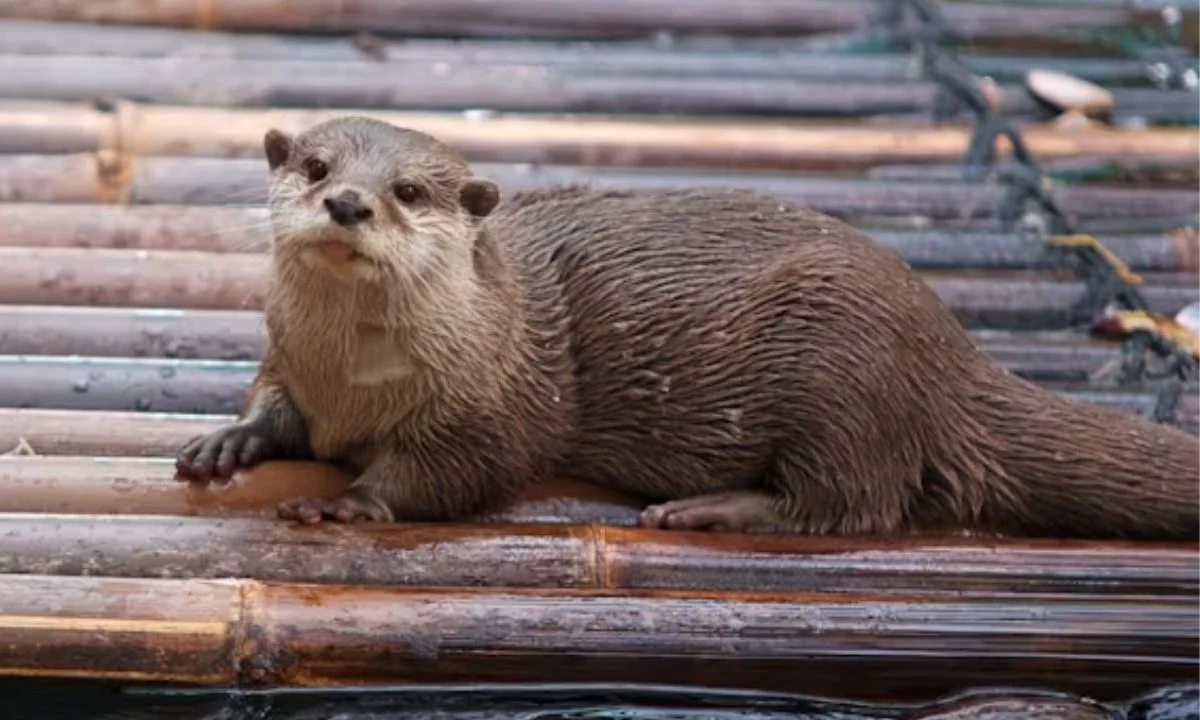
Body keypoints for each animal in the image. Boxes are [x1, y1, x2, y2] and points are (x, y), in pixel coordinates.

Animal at [176, 116, 1199, 540]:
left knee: (855, 501)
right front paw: (231, 441)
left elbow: (457, 474)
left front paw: (350, 501)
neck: (357, 381)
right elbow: (273, 403)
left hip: (844, 360)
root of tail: (952, 353)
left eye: (411, 192)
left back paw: (711, 507)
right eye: (315, 166)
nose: (348, 202)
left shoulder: (496, 405)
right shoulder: (290, 360)